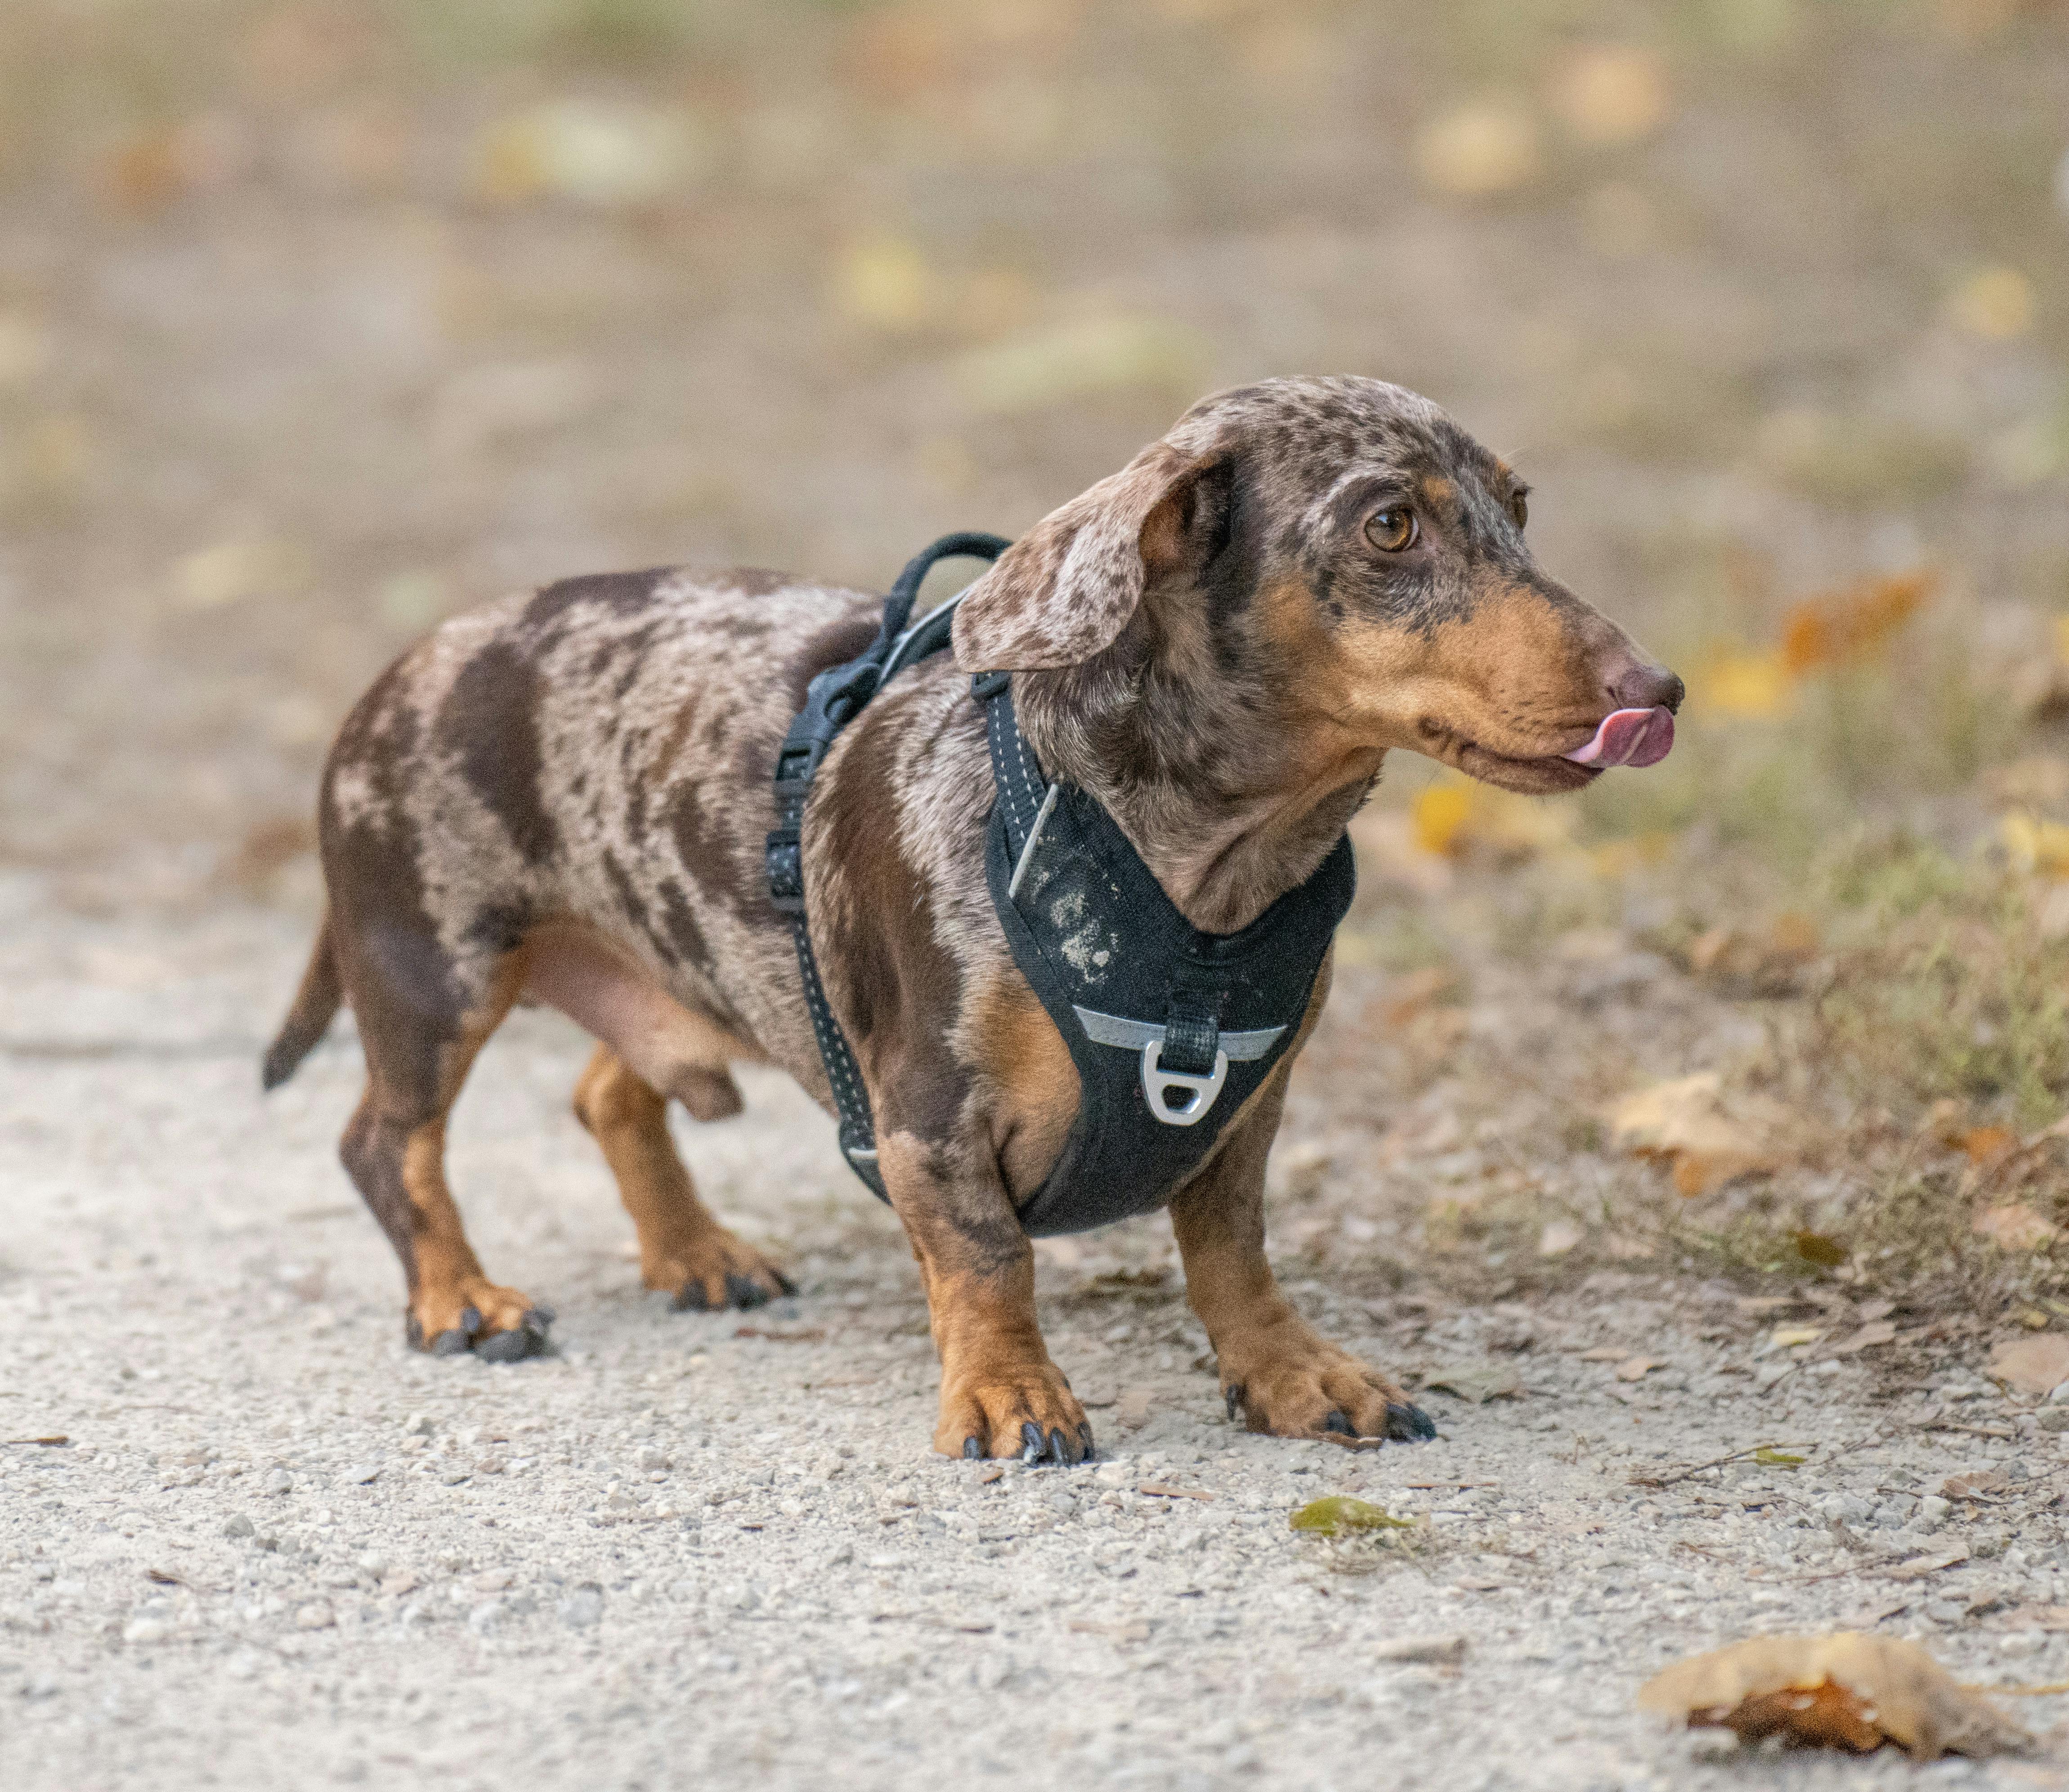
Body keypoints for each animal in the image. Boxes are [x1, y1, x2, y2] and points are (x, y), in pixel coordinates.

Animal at [263, 374, 1680, 1457]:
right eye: (1390, 525)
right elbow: (992, 1259)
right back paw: (462, 1299)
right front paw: (1009, 1394)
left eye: (1518, 508)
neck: (1193, 871)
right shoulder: (929, 1111)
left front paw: (1294, 1372)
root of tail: (411, 660)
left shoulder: (1245, 1112)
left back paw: (698, 1251)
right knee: (385, 1145)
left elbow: (1237, 1257)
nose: (1657, 688)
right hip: (433, 975)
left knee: (606, 1092)